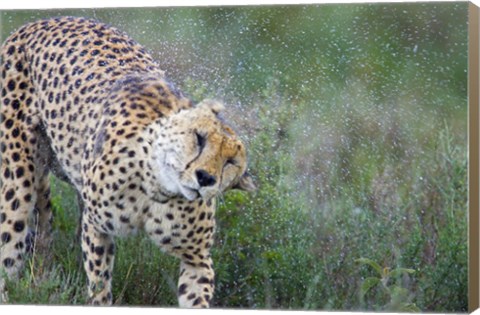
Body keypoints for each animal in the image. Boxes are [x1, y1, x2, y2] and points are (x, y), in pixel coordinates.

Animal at [0, 16, 255, 308]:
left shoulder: (197, 258)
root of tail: (42, 21)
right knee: (11, 245)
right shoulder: (96, 227)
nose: (205, 178)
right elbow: (99, 283)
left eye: (230, 162)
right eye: (199, 138)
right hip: (18, 181)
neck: (159, 188)